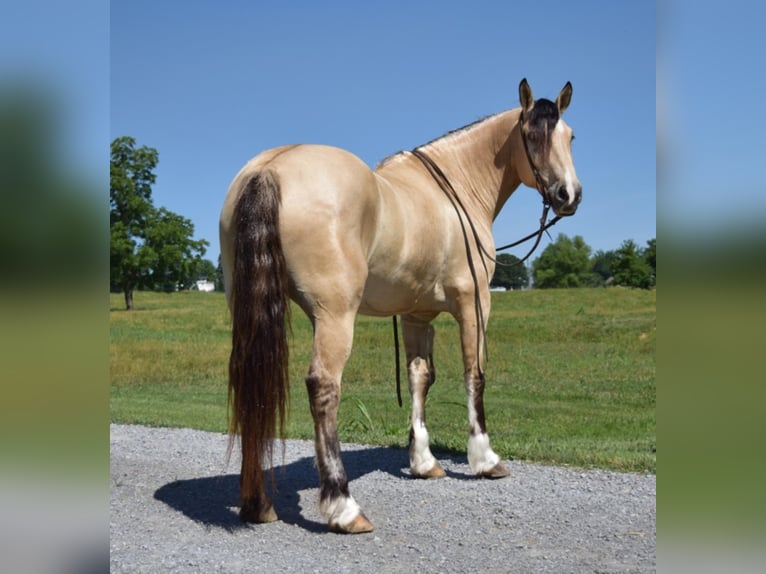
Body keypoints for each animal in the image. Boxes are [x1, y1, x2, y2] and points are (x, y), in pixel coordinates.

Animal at [220, 77, 584, 536]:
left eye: (570, 136)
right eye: (532, 135)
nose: (568, 195)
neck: (454, 192)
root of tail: (269, 169)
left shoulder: (415, 317)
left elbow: (420, 379)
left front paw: (424, 462)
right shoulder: (474, 305)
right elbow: (475, 376)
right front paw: (485, 459)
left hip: (249, 310)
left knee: (250, 378)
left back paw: (257, 504)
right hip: (335, 316)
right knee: (324, 387)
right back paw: (343, 507)